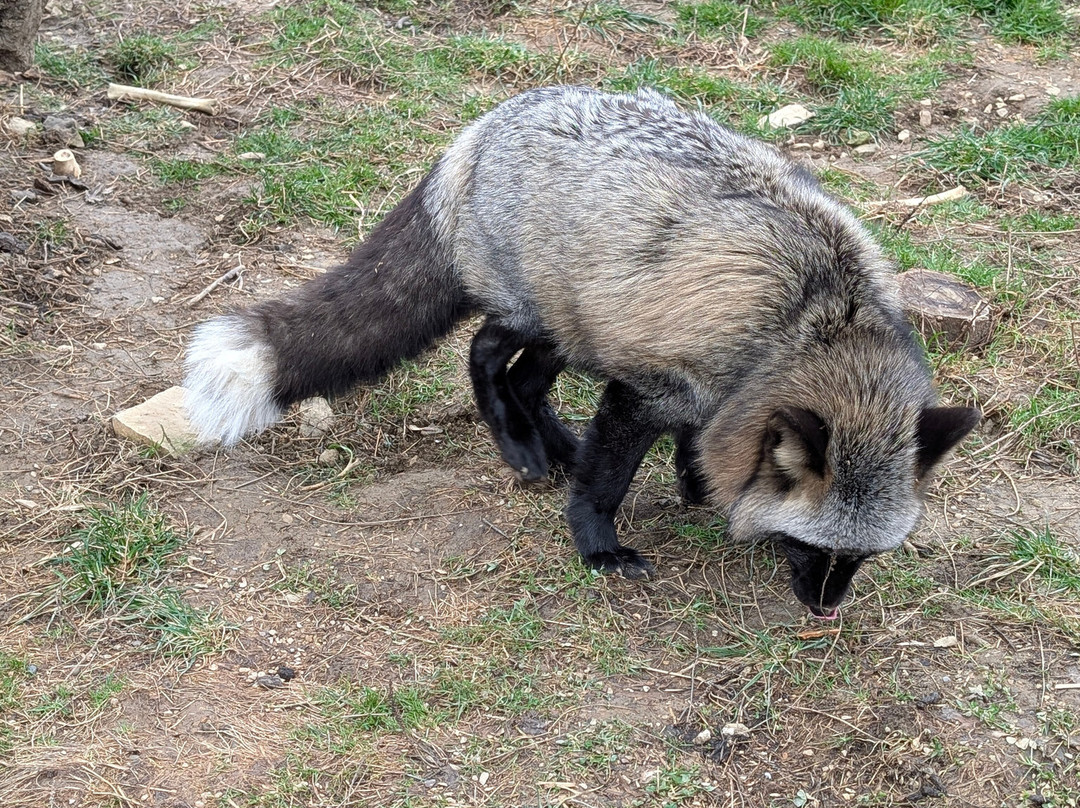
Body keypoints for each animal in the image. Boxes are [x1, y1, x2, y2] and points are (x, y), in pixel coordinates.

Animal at [184, 85, 979, 618]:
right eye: (814, 551)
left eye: (866, 557)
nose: (825, 608)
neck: (812, 321)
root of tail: (483, 127)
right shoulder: (653, 388)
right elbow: (607, 481)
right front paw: (598, 548)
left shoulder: (714, 390)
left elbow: (699, 448)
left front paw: (697, 487)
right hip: (537, 316)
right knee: (484, 354)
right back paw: (521, 448)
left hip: (577, 327)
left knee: (528, 381)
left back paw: (552, 443)